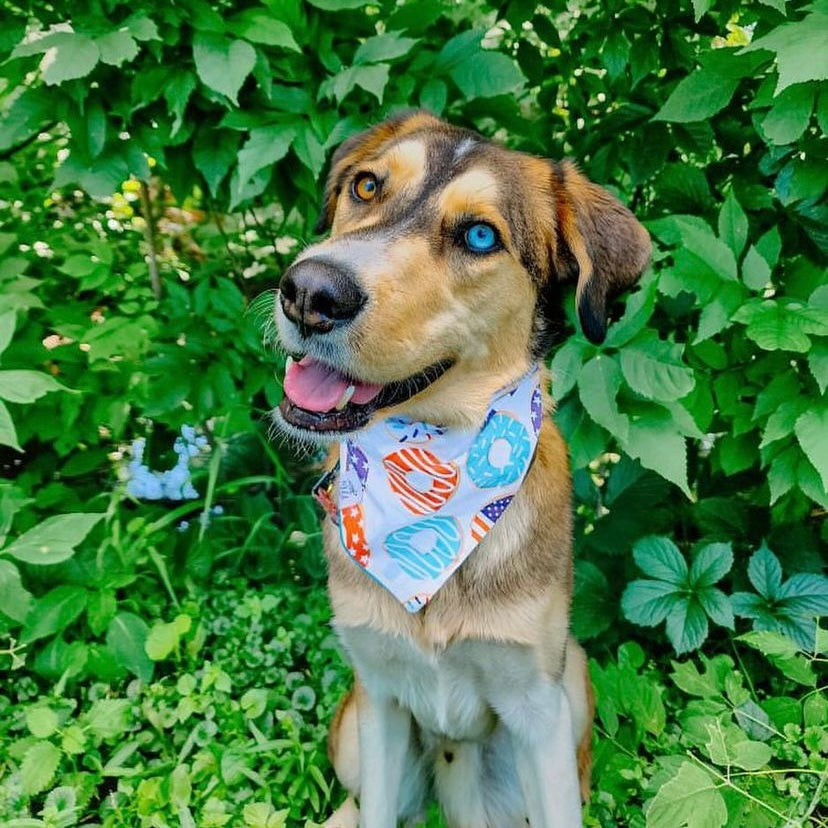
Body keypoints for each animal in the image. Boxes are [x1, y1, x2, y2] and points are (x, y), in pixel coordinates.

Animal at [274, 111, 652, 828]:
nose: (309, 292)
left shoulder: (539, 711)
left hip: (574, 680)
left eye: (480, 235)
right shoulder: (381, 697)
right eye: (367, 186)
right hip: (353, 728)